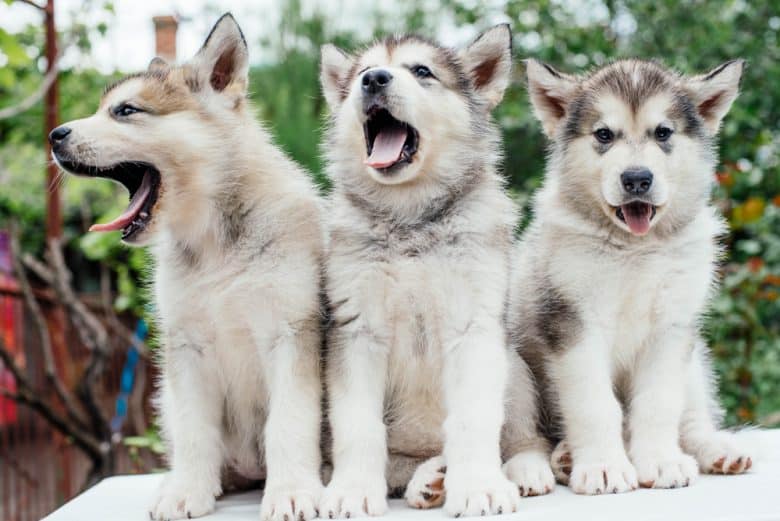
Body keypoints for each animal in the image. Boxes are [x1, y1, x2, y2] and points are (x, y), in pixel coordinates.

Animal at [49, 13, 322, 520]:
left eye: (125, 111)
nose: (55, 136)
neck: (215, 244)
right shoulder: (186, 346)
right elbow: (196, 432)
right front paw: (186, 492)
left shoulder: (290, 334)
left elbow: (288, 424)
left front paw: (292, 491)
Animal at [318, 25, 556, 516]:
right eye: (362, 73)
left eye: (422, 71)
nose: (373, 79)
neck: (410, 216)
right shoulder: (357, 331)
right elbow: (358, 425)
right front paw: (351, 489)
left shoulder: (474, 327)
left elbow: (474, 419)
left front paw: (480, 486)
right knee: (402, 464)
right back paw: (428, 478)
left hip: (515, 368)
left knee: (525, 436)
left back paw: (522, 469)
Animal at [512, 58, 756, 496]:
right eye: (604, 135)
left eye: (663, 133)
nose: (637, 179)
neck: (634, 251)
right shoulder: (574, 324)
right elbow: (594, 404)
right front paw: (603, 466)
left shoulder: (672, 328)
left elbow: (658, 403)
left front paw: (660, 461)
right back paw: (555, 461)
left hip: (694, 362)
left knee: (692, 419)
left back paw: (718, 449)